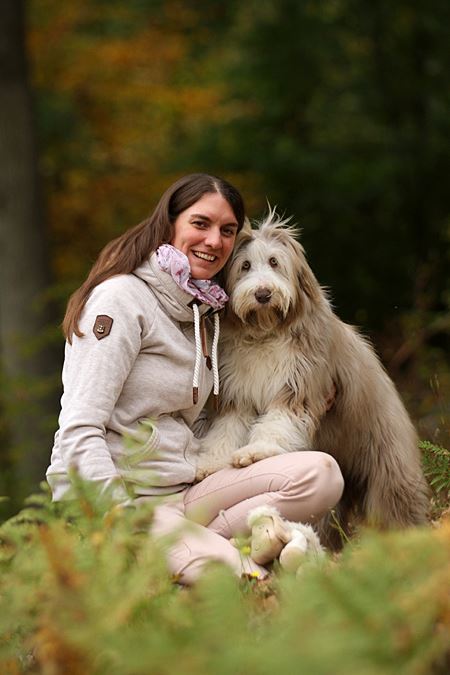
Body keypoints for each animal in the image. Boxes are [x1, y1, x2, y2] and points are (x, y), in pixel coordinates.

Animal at [195, 210, 429, 548]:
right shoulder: (239, 395)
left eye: (275, 262)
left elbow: (278, 424)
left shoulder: (300, 386)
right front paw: (211, 463)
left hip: (386, 463)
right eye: (245, 266)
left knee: (395, 504)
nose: (263, 294)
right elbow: (225, 431)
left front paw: (257, 451)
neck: (266, 333)